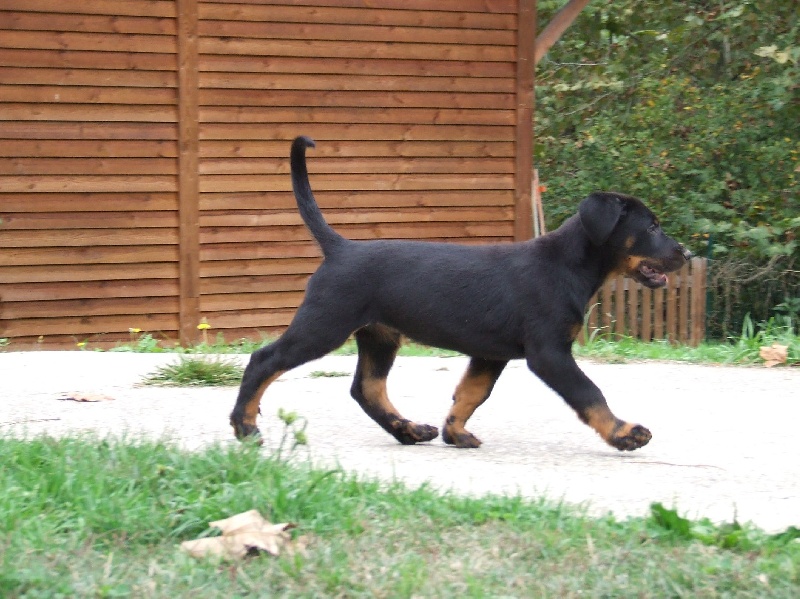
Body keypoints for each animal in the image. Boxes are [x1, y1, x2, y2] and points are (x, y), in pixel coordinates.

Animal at [228, 138, 692, 452]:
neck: (567, 264)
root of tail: (341, 248)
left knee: (367, 389)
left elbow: (471, 394)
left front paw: (455, 432)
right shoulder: (549, 352)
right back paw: (245, 426)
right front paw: (624, 433)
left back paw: (409, 429)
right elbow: (589, 392)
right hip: (324, 323)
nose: (686, 253)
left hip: (379, 335)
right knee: (264, 360)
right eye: (651, 227)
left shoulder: (490, 354)